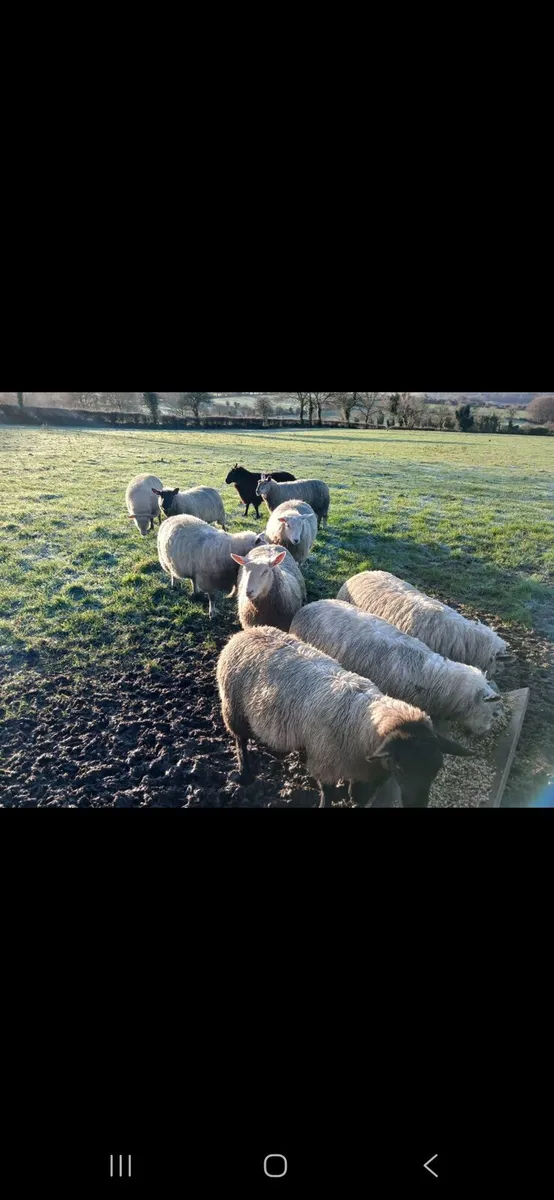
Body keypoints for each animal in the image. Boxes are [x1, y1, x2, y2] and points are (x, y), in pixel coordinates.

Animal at [216, 626, 471, 808]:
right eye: (400, 769)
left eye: (437, 769)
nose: (417, 805)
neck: (364, 723)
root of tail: (247, 632)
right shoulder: (327, 763)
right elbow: (328, 794)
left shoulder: (365, 773)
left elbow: (357, 796)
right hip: (233, 707)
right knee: (240, 740)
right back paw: (245, 773)